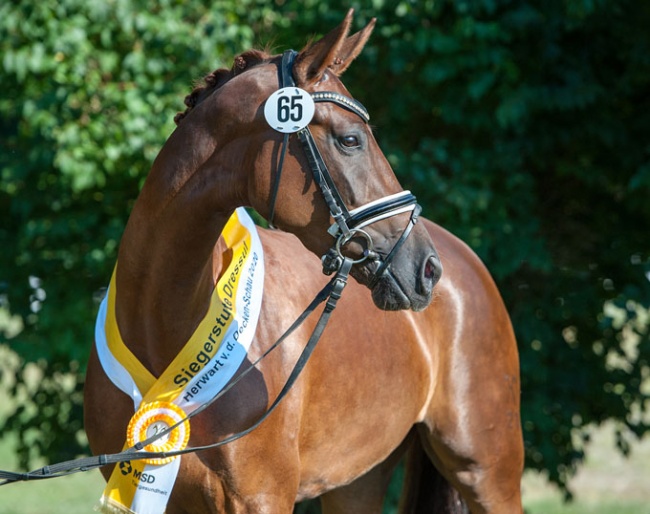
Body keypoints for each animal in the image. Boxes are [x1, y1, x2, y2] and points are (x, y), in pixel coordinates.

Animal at [83, 10, 524, 510]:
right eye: (350, 140)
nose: (426, 268)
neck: (162, 328)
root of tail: (467, 262)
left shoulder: (260, 497)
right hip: (357, 481)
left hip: (488, 474)